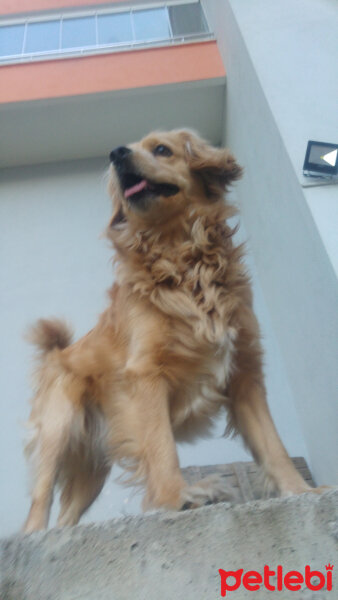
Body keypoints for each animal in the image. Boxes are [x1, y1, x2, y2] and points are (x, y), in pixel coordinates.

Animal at [23, 129, 320, 532]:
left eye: (162, 149)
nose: (116, 154)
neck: (181, 255)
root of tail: (58, 353)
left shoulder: (245, 375)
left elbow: (273, 446)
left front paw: (301, 491)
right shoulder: (146, 374)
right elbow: (162, 448)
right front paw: (176, 498)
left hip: (92, 470)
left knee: (66, 517)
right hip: (59, 430)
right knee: (39, 504)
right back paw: (33, 536)